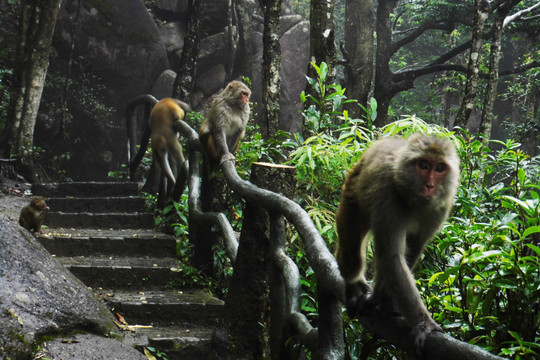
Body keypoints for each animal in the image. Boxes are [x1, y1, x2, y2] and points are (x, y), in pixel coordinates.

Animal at [338, 134, 460, 352]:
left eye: (440, 168)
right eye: (423, 165)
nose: (430, 186)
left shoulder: (440, 207)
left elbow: (412, 249)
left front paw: (384, 302)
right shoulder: (387, 196)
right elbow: (392, 256)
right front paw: (424, 323)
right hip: (352, 191)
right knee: (352, 255)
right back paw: (352, 284)